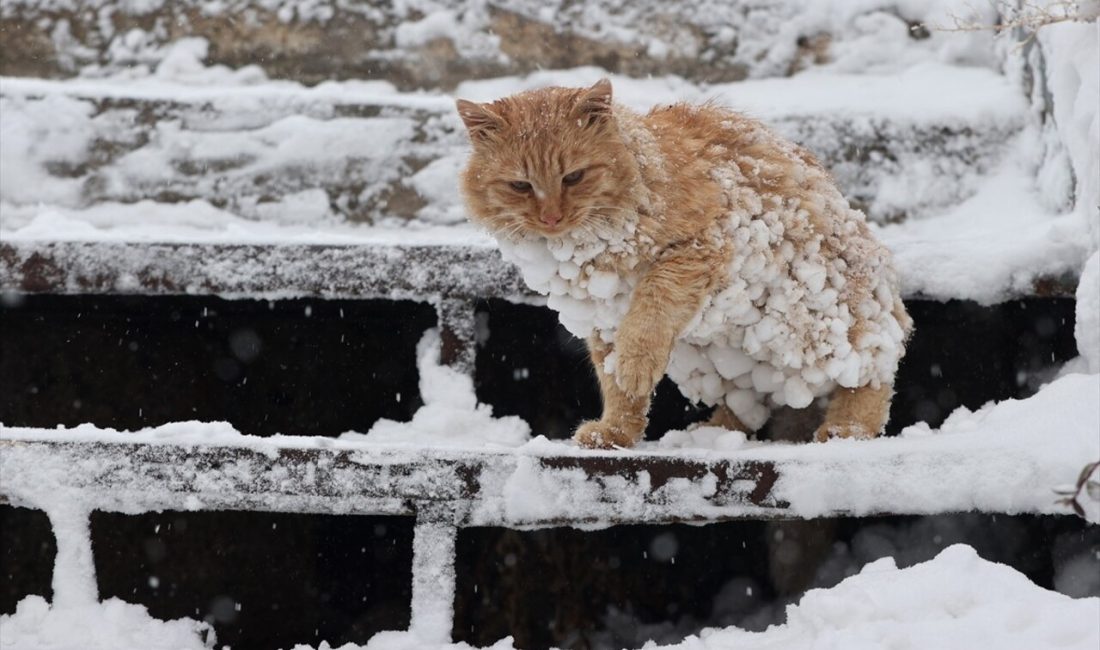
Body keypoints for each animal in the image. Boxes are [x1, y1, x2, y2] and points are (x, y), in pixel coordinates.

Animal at [455, 80, 910, 448]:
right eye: (520, 186)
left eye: (573, 177)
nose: (551, 217)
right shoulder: (604, 318)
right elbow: (616, 387)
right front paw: (616, 433)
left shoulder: (696, 251)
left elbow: (649, 318)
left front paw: (635, 368)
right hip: (724, 356)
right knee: (753, 403)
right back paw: (710, 433)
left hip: (815, 326)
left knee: (875, 370)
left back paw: (847, 430)